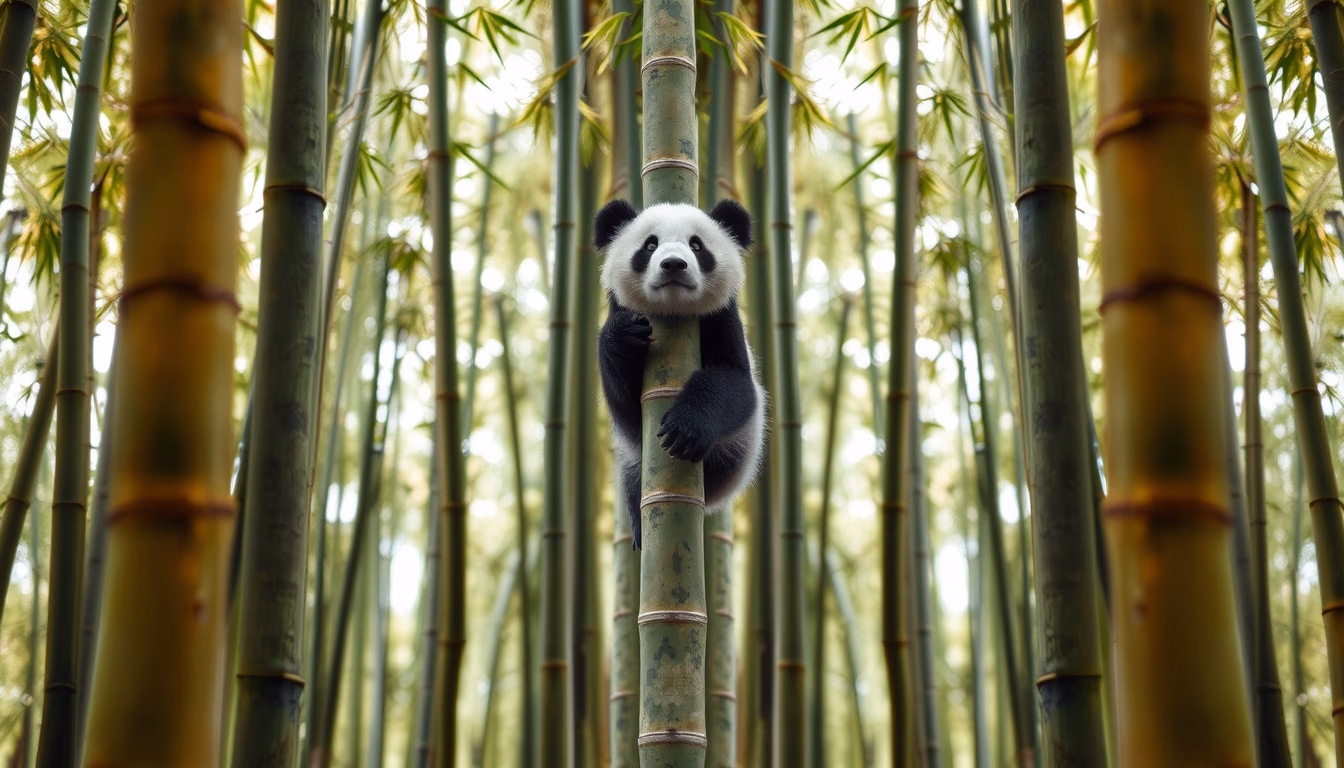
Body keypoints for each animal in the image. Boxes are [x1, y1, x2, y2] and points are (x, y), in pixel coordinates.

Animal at [594, 197, 767, 550]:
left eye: (697, 245)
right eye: (650, 245)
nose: (673, 264)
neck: (673, 310)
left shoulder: (721, 317)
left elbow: (735, 384)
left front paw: (684, 430)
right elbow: (626, 408)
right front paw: (623, 337)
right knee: (633, 486)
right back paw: (639, 531)